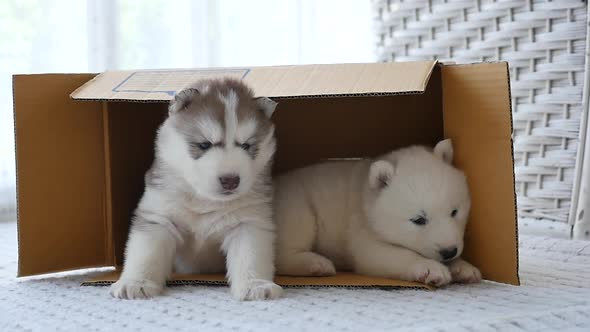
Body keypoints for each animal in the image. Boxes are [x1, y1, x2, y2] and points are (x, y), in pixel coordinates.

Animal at [112, 78, 286, 300]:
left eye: (247, 146)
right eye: (204, 144)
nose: (230, 180)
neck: (205, 199)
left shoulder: (249, 223)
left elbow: (251, 255)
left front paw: (255, 284)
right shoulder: (158, 217)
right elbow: (146, 254)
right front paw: (136, 283)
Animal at [276, 139, 484, 286]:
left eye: (454, 211)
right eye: (419, 219)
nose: (449, 251)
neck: (366, 197)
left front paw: (464, 268)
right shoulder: (361, 228)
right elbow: (381, 254)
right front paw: (431, 268)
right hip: (298, 207)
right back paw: (317, 263)